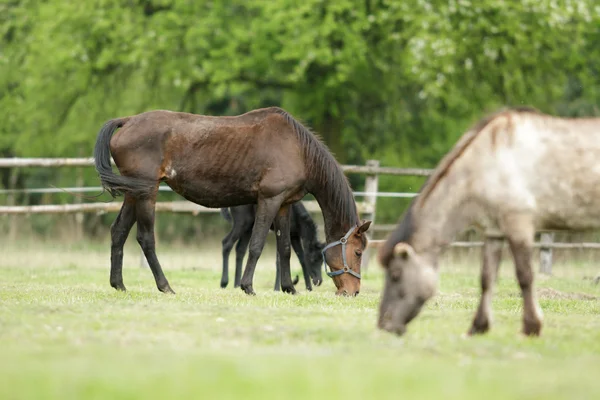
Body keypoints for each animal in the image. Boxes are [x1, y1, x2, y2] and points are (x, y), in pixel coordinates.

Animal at [94, 107, 370, 296]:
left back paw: (119, 284)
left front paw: (289, 288)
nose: (353, 291)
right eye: (357, 252)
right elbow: (257, 245)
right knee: (145, 238)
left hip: (133, 193)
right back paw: (165, 286)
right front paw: (247, 286)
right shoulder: (269, 200)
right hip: (146, 193)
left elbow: (284, 249)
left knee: (118, 232)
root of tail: (128, 121)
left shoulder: (284, 204)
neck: (297, 150)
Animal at [378, 107, 600, 338]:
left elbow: (525, 276)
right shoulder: (494, 232)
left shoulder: (518, 225)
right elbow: (487, 278)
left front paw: (531, 326)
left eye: (395, 275)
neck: (485, 162)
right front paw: (479, 326)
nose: (384, 324)